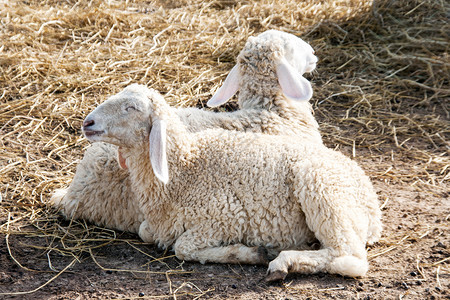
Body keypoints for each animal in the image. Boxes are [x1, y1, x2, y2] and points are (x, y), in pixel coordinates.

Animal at [79, 84, 382, 282]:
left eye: (131, 108)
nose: (88, 122)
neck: (185, 168)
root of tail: (373, 207)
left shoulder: (225, 216)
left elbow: (183, 247)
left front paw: (250, 252)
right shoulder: (157, 223)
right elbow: (145, 231)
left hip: (324, 190)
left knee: (349, 258)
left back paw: (284, 262)